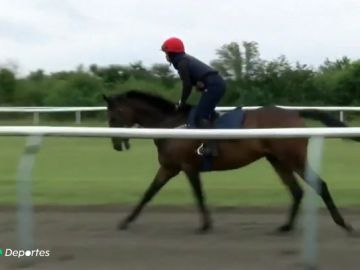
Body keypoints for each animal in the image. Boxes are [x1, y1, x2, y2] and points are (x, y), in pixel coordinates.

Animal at [102, 89, 358, 233]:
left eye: (113, 116)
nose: (115, 144)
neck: (170, 125)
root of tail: (294, 113)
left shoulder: (187, 167)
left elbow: (199, 195)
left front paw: (205, 225)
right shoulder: (169, 167)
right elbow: (148, 193)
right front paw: (125, 221)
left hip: (292, 157)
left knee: (320, 185)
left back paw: (344, 224)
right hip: (277, 160)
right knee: (296, 191)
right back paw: (285, 227)